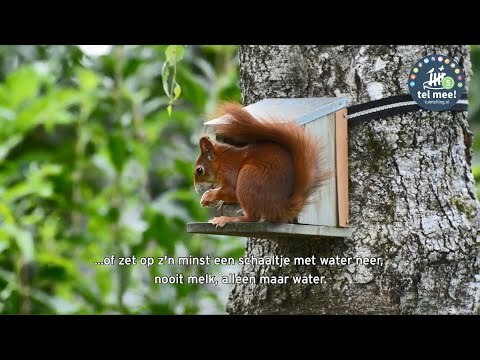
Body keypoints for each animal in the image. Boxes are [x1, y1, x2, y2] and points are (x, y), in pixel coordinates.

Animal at [193, 102, 328, 226]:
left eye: (199, 170)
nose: (197, 190)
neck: (222, 160)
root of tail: (280, 208)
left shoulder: (230, 171)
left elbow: (230, 190)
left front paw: (209, 196)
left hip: (248, 177)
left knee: (253, 218)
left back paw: (228, 219)